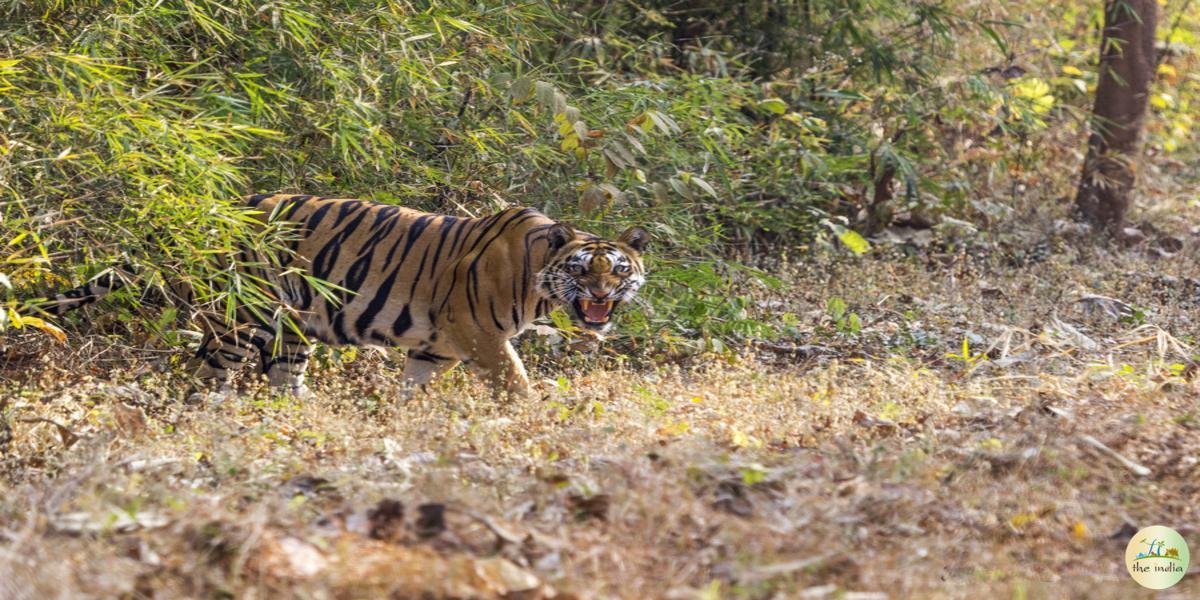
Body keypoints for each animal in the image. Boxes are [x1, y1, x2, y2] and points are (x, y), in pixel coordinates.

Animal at [37, 192, 652, 398]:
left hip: (291, 328)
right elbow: (517, 385)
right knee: (207, 376)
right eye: (582, 271)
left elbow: (410, 394)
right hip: (243, 316)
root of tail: (222, 207)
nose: (602, 295)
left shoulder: (434, 350)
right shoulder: (482, 338)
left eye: (619, 270)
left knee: (282, 380)